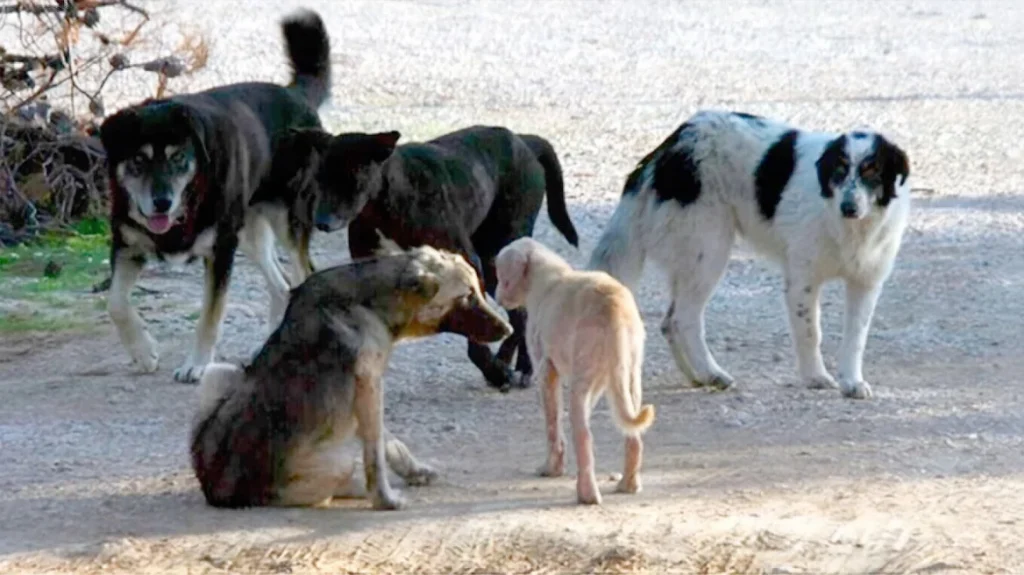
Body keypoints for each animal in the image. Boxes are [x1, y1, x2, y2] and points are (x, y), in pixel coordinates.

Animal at [97, 7, 342, 380]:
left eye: (178, 157)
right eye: (138, 160)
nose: (161, 202)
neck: (189, 199)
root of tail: (296, 95)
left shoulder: (220, 250)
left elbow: (210, 317)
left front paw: (197, 364)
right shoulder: (127, 245)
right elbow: (115, 303)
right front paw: (143, 353)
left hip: (286, 222)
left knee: (303, 275)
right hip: (251, 232)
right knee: (283, 286)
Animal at [189, 241, 512, 505]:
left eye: (478, 291)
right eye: (467, 297)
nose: (509, 329)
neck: (371, 302)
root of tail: (218, 491)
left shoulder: (367, 393)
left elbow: (391, 443)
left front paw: (414, 471)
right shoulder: (369, 388)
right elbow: (375, 454)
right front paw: (385, 500)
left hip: (220, 373)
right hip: (336, 462)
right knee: (339, 481)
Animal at [276, 124, 581, 392]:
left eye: (354, 177)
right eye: (318, 178)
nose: (322, 221)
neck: (387, 202)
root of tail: (524, 140)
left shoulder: (468, 263)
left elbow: (474, 332)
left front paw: (493, 370)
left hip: (496, 255)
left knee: (522, 313)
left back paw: (520, 368)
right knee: (518, 314)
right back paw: (508, 362)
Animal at [495, 236, 655, 501]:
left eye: (500, 274)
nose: (497, 297)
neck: (545, 274)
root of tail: (615, 308)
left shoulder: (545, 370)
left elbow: (552, 425)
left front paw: (552, 469)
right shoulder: (601, 382)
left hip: (582, 380)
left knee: (584, 436)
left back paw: (587, 495)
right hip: (629, 377)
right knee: (633, 435)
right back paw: (628, 485)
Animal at [593, 111, 913, 399]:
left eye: (872, 171)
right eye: (840, 171)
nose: (849, 207)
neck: (850, 227)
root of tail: (669, 146)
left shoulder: (866, 283)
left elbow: (856, 337)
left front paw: (851, 382)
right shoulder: (803, 280)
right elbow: (810, 332)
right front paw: (815, 377)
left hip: (690, 257)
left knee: (668, 322)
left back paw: (696, 376)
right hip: (709, 250)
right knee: (683, 318)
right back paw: (712, 373)